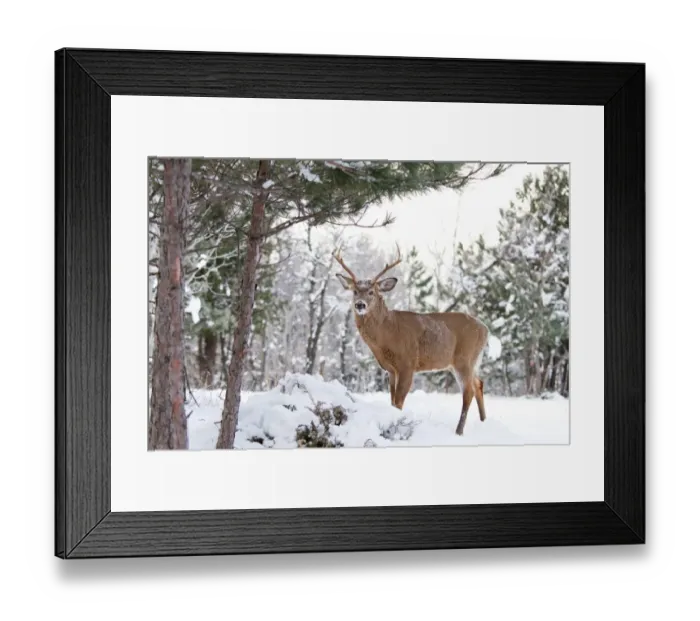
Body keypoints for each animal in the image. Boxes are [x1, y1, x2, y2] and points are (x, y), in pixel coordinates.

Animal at [334, 244, 489, 436]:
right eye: (355, 291)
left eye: (371, 292)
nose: (360, 304)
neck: (388, 334)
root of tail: (485, 329)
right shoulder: (390, 369)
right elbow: (392, 401)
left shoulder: (407, 363)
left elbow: (399, 402)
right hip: (469, 360)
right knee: (479, 384)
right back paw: (483, 422)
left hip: (464, 357)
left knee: (468, 391)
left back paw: (458, 431)